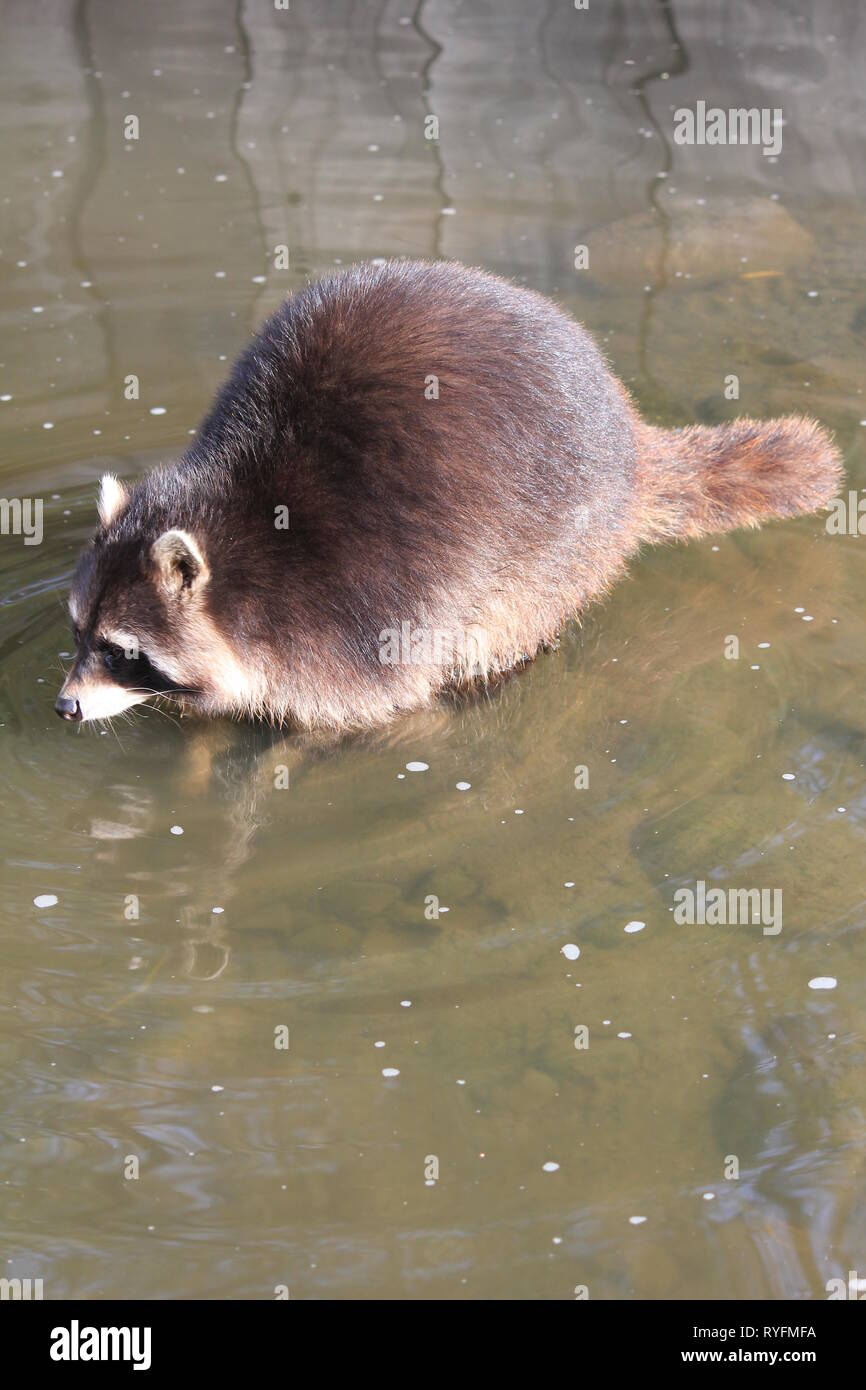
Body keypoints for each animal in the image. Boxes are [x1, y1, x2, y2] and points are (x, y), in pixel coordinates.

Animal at [55, 261, 839, 733]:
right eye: (78, 632)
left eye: (120, 650)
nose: (64, 705)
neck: (242, 545)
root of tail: (629, 436)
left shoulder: (356, 624)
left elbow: (366, 706)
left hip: (554, 546)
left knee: (505, 627)